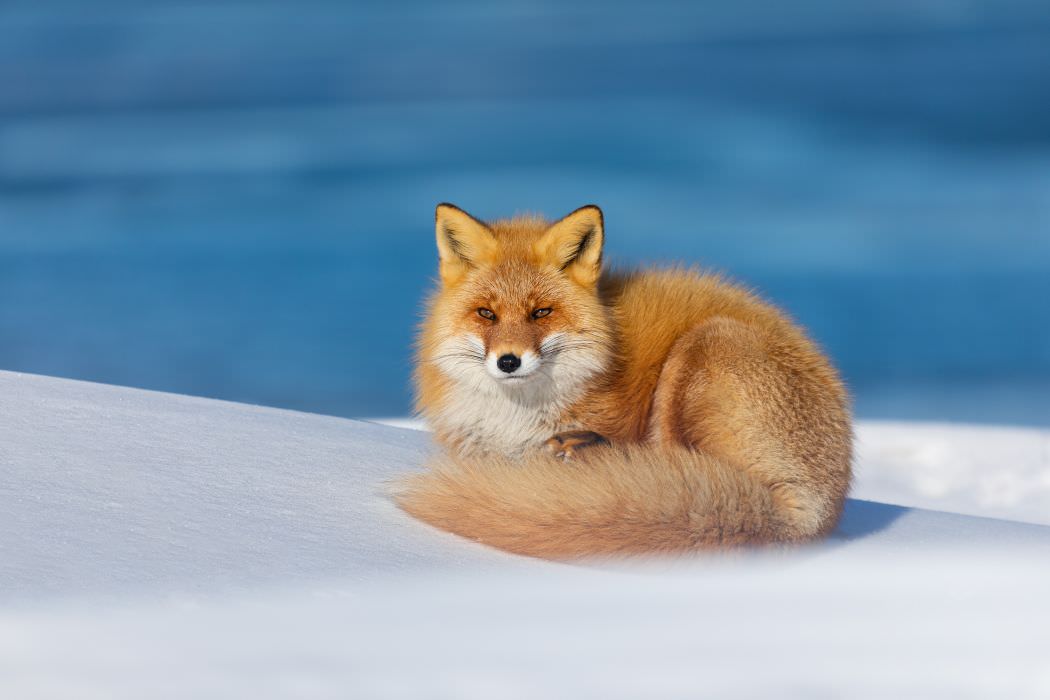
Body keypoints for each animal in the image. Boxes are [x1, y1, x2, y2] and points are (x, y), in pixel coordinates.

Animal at [394, 201, 852, 558]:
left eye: (541, 312)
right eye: (486, 314)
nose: (508, 361)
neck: (514, 421)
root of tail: (808, 516)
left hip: (700, 350)